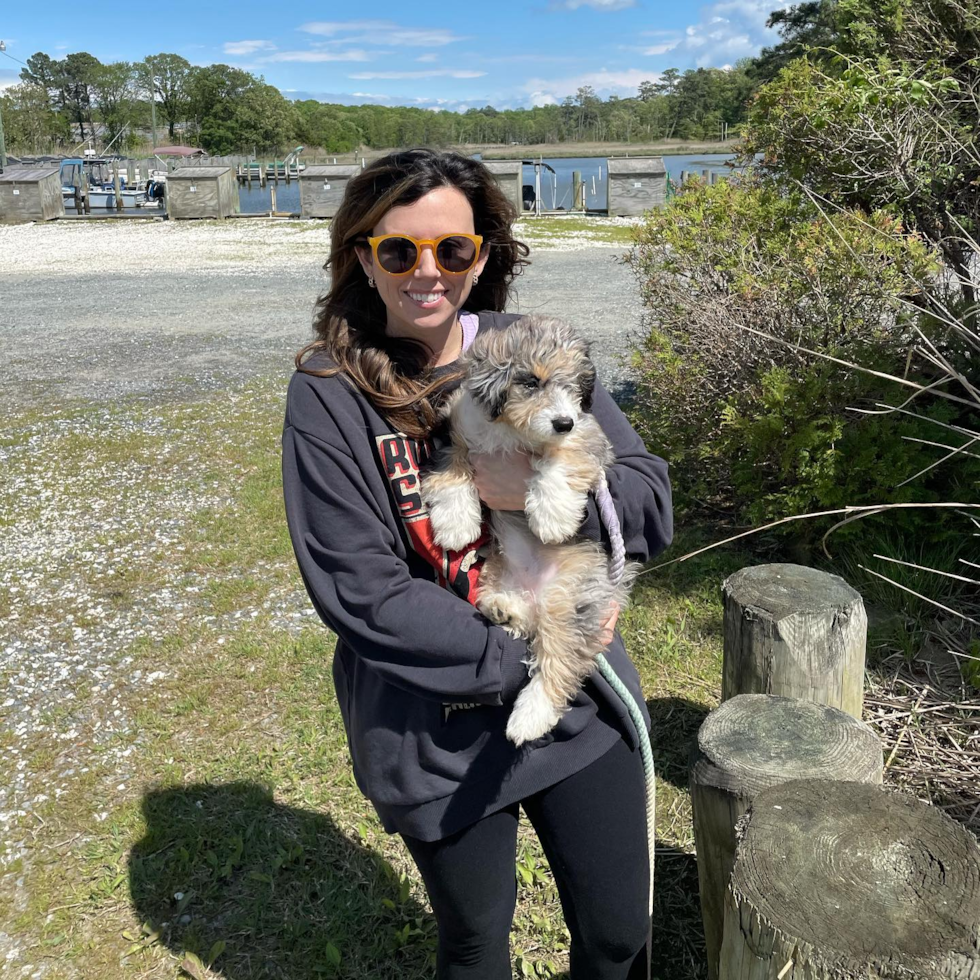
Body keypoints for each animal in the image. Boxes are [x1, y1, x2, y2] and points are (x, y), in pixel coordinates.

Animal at [424, 314, 640, 744]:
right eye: (531, 382)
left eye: (574, 386)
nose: (562, 421)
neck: (512, 429)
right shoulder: (456, 432)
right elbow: (453, 471)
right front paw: (456, 524)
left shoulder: (586, 436)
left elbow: (560, 459)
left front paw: (551, 517)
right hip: (501, 575)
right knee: (526, 623)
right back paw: (504, 610)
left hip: (569, 601)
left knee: (558, 663)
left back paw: (530, 717)